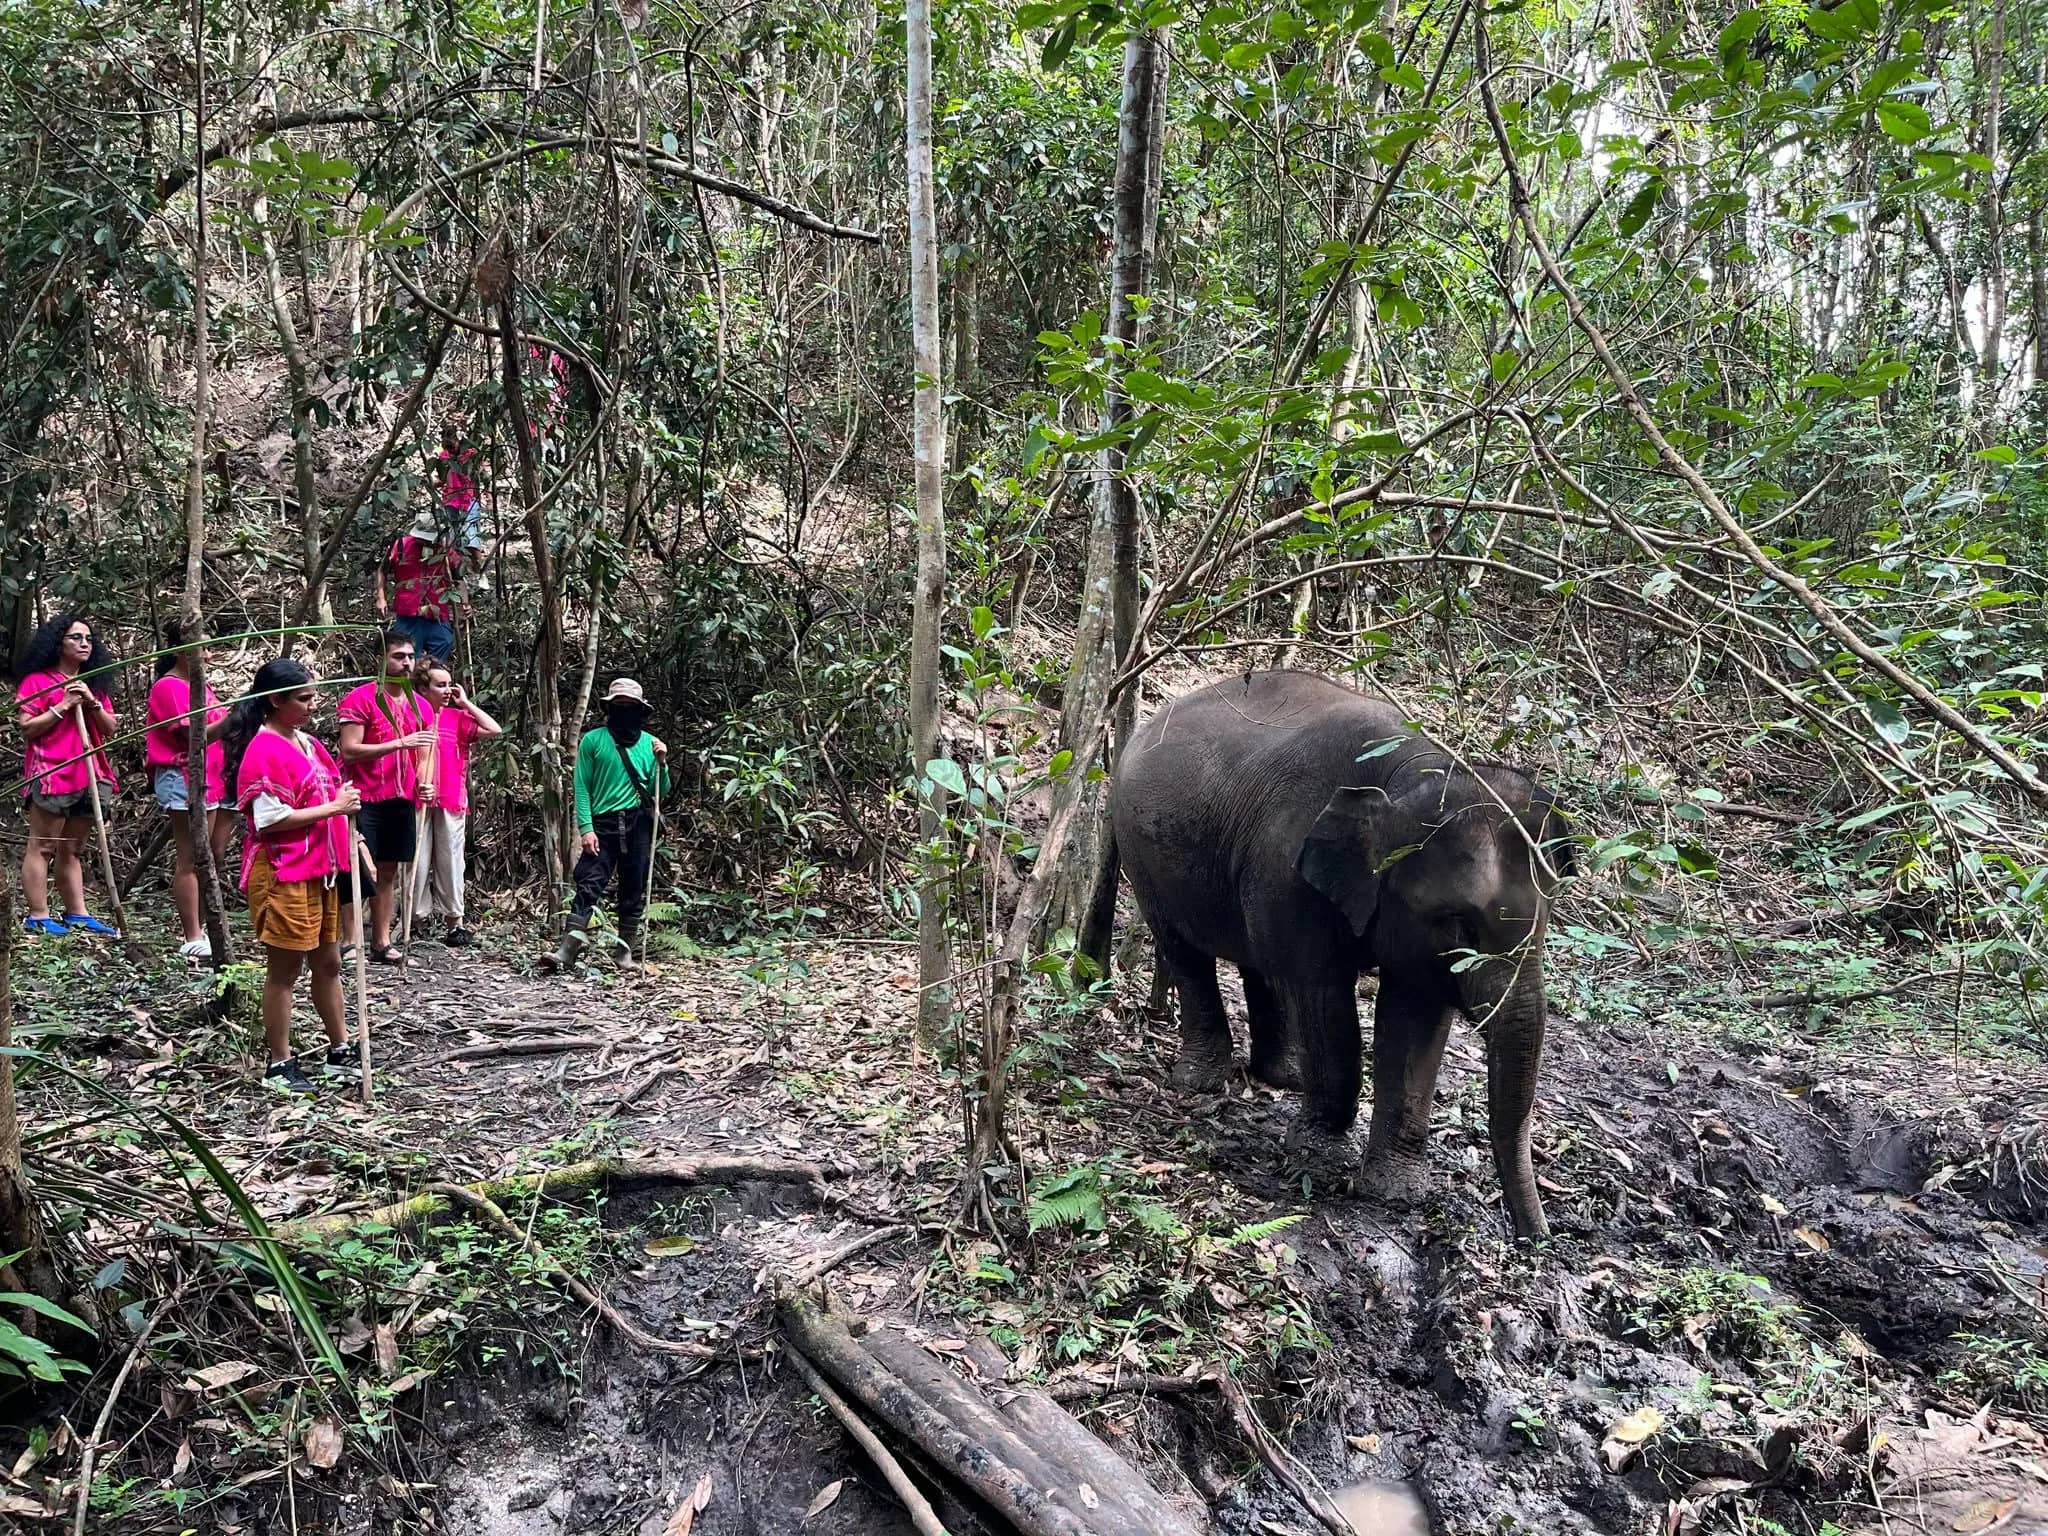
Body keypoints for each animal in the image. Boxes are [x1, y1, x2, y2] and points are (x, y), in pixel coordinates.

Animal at [1102, 670, 1574, 1238]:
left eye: (1548, 920)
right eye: (1460, 924)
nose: (1537, 1238)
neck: (1407, 772)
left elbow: (1414, 1018)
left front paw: (1395, 1192)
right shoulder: (1288, 871)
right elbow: (1322, 995)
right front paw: (1318, 1155)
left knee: (1256, 960)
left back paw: (1282, 1076)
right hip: (1140, 848)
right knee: (1184, 950)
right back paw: (1201, 1081)